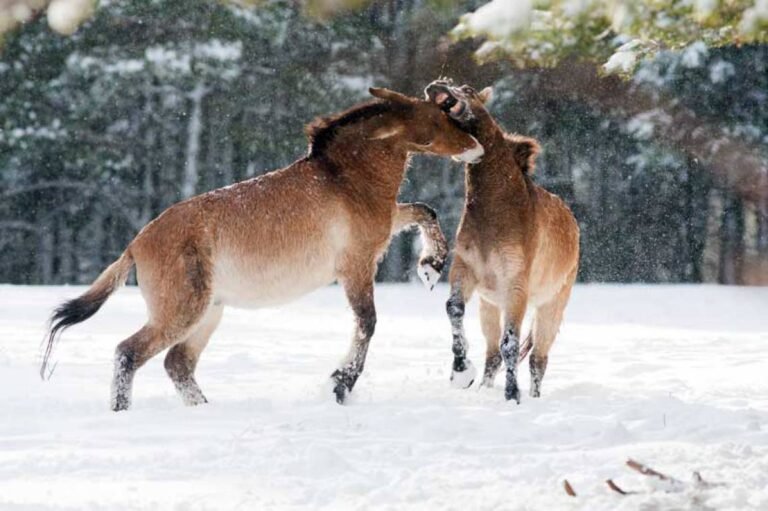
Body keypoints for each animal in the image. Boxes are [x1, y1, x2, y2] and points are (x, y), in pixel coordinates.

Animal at [42, 87, 484, 411]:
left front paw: (431, 266)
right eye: (440, 118)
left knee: (177, 364)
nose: (476, 147)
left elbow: (424, 211)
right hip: (181, 313)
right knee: (128, 353)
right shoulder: (356, 267)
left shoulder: (387, 224)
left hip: (209, 314)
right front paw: (341, 385)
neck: (343, 178)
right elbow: (367, 323)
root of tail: (136, 243)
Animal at [425, 80, 579, 403]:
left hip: (551, 307)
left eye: (467, 89)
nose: (436, 85)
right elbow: (454, 309)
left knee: (537, 360)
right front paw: (461, 372)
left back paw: (532, 396)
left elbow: (511, 343)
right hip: (489, 306)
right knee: (493, 355)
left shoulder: (516, 287)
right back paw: (484, 387)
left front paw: (512, 394)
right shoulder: (465, 272)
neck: (496, 211)